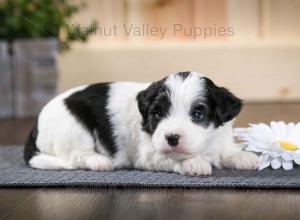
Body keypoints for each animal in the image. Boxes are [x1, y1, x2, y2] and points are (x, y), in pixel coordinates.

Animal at [24, 72, 258, 175]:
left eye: (198, 114)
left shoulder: (220, 136)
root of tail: (35, 127)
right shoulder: (148, 154)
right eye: (157, 114)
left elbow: (227, 149)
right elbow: (173, 157)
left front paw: (242, 156)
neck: (205, 144)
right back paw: (98, 161)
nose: (172, 138)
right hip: (74, 129)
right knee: (75, 155)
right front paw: (194, 163)